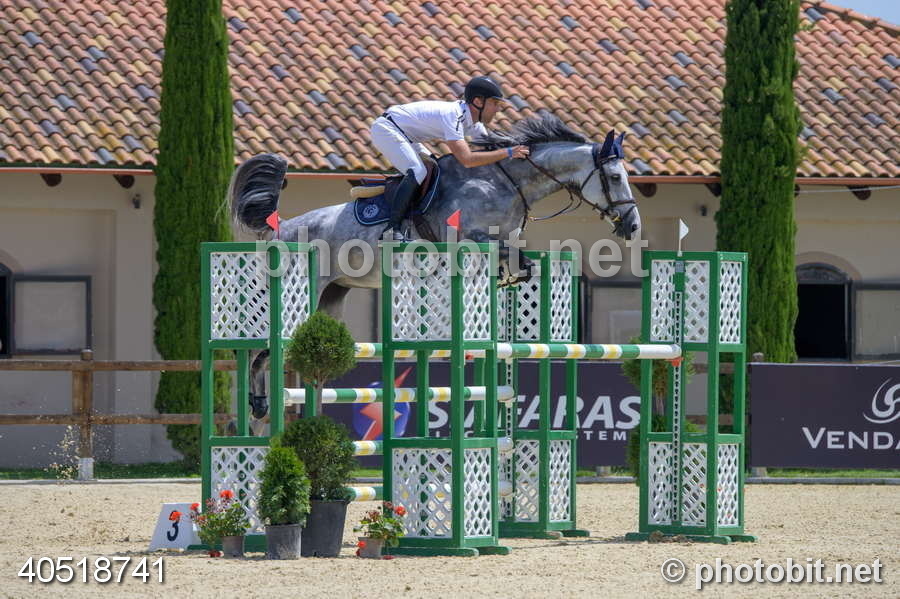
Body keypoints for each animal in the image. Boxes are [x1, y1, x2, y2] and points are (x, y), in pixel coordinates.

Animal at [227, 113, 641, 421]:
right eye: (615, 177)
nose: (632, 225)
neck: (502, 184)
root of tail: (281, 227)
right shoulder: (470, 238)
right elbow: (509, 256)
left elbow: (522, 264)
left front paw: (507, 280)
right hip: (300, 291)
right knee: (261, 349)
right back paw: (258, 404)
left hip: (331, 296)